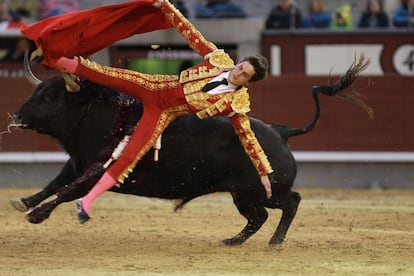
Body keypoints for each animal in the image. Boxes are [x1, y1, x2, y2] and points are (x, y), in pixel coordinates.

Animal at [8, 54, 370, 246]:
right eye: (37, 91)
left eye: (51, 96)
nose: (18, 117)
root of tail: (282, 132)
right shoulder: (79, 162)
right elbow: (56, 184)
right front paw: (24, 201)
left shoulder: (100, 167)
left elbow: (70, 190)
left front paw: (37, 215)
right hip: (243, 195)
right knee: (259, 216)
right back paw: (233, 241)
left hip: (263, 190)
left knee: (290, 202)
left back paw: (275, 242)